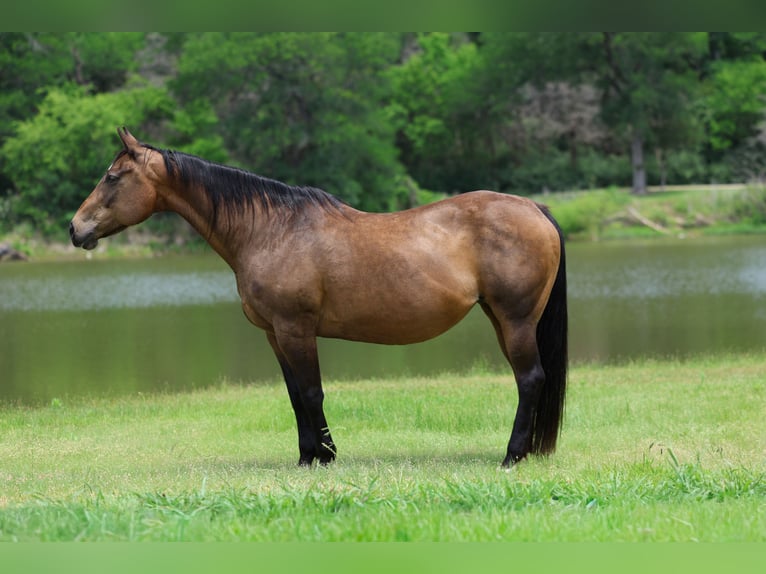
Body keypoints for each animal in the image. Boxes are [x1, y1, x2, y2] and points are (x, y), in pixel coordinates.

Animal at [70, 127, 568, 468]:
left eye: (112, 177)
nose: (75, 229)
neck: (271, 230)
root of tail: (533, 208)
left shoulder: (296, 329)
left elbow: (312, 391)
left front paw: (326, 456)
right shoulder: (275, 334)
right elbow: (294, 395)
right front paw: (307, 456)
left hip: (515, 320)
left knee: (530, 379)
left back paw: (512, 456)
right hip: (502, 320)